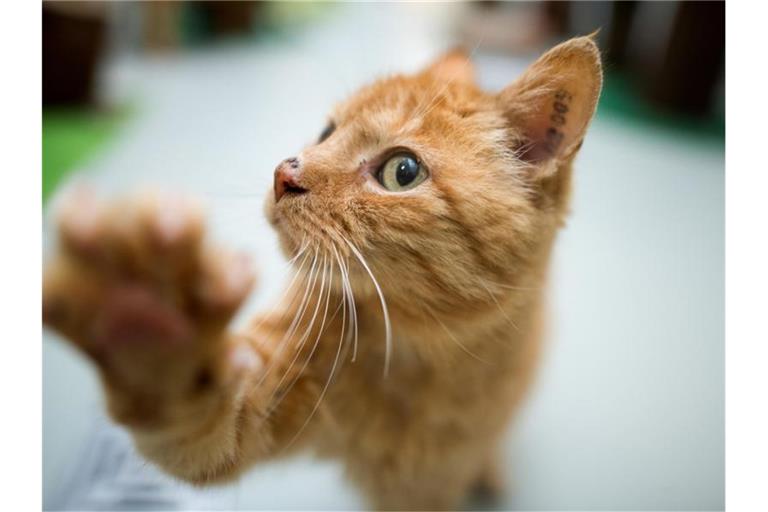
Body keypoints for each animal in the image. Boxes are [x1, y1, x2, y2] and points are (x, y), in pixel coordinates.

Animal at [45, 36, 604, 508]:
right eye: (326, 132)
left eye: (402, 171)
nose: (283, 174)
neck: (414, 358)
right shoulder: (262, 392)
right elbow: (201, 423)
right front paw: (150, 319)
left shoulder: (431, 487)